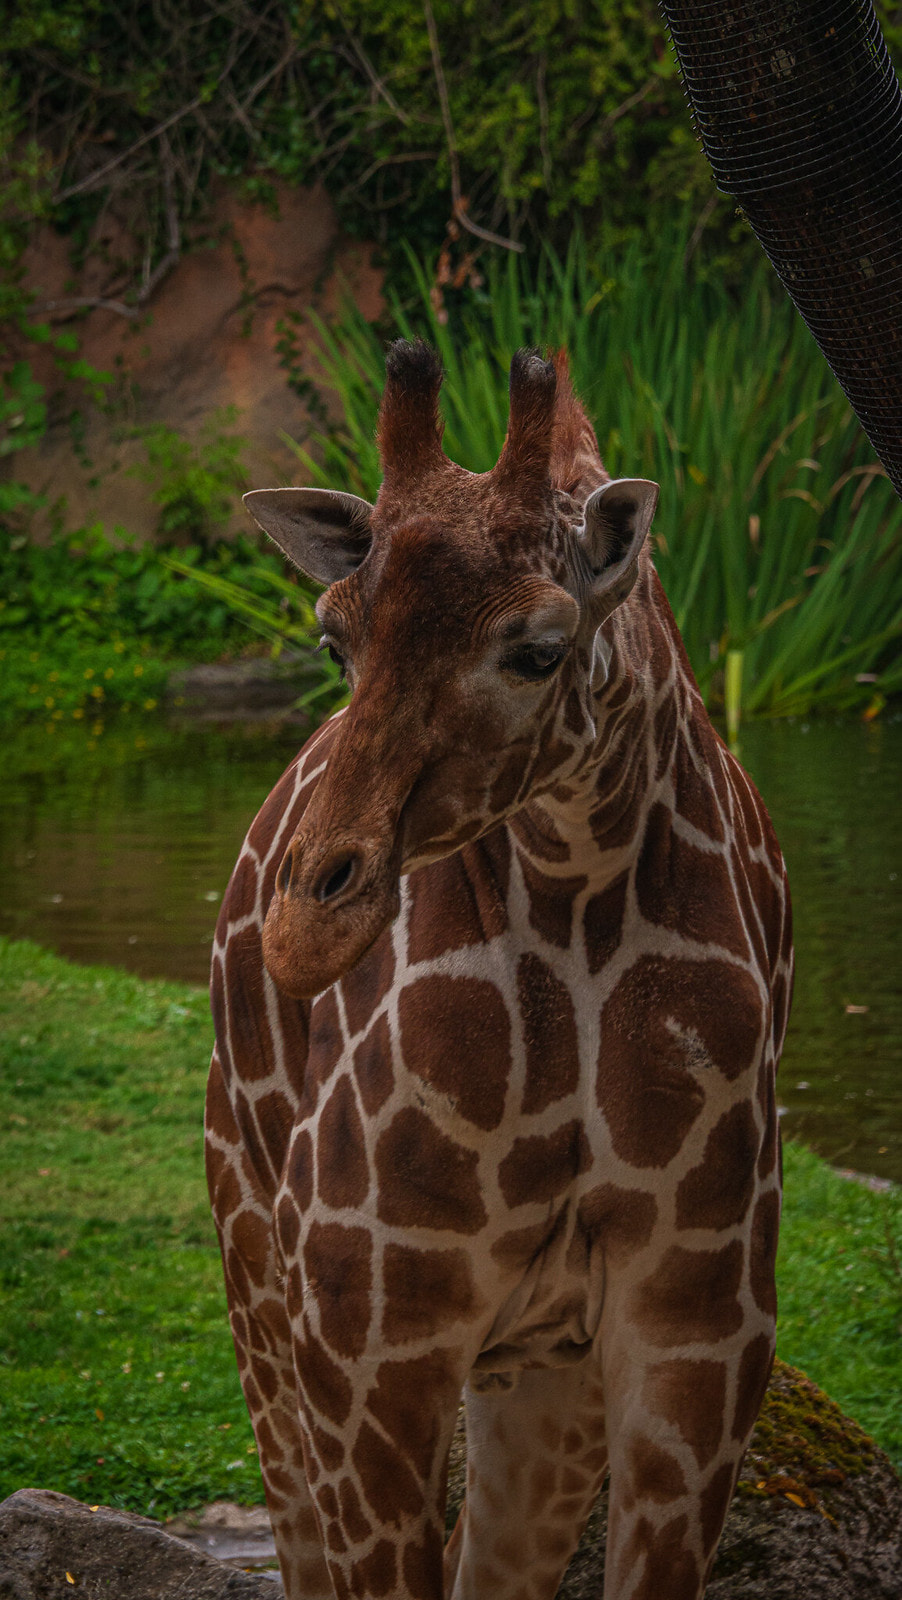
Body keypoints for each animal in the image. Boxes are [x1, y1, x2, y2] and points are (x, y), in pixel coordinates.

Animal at [205, 341, 792, 1600]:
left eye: (536, 648)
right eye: (334, 638)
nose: (305, 923)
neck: (575, 892)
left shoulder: (697, 1332)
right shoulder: (366, 1340)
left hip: (537, 1372)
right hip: (255, 1274)